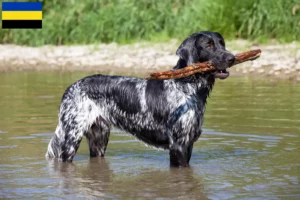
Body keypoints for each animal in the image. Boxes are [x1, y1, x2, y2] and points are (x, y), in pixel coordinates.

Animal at [45, 31, 236, 167]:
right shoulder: (178, 145)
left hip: (99, 139)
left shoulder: (188, 143)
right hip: (69, 140)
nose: (232, 58)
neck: (187, 86)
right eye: (209, 45)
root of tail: (71, 88)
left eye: (222, 44)